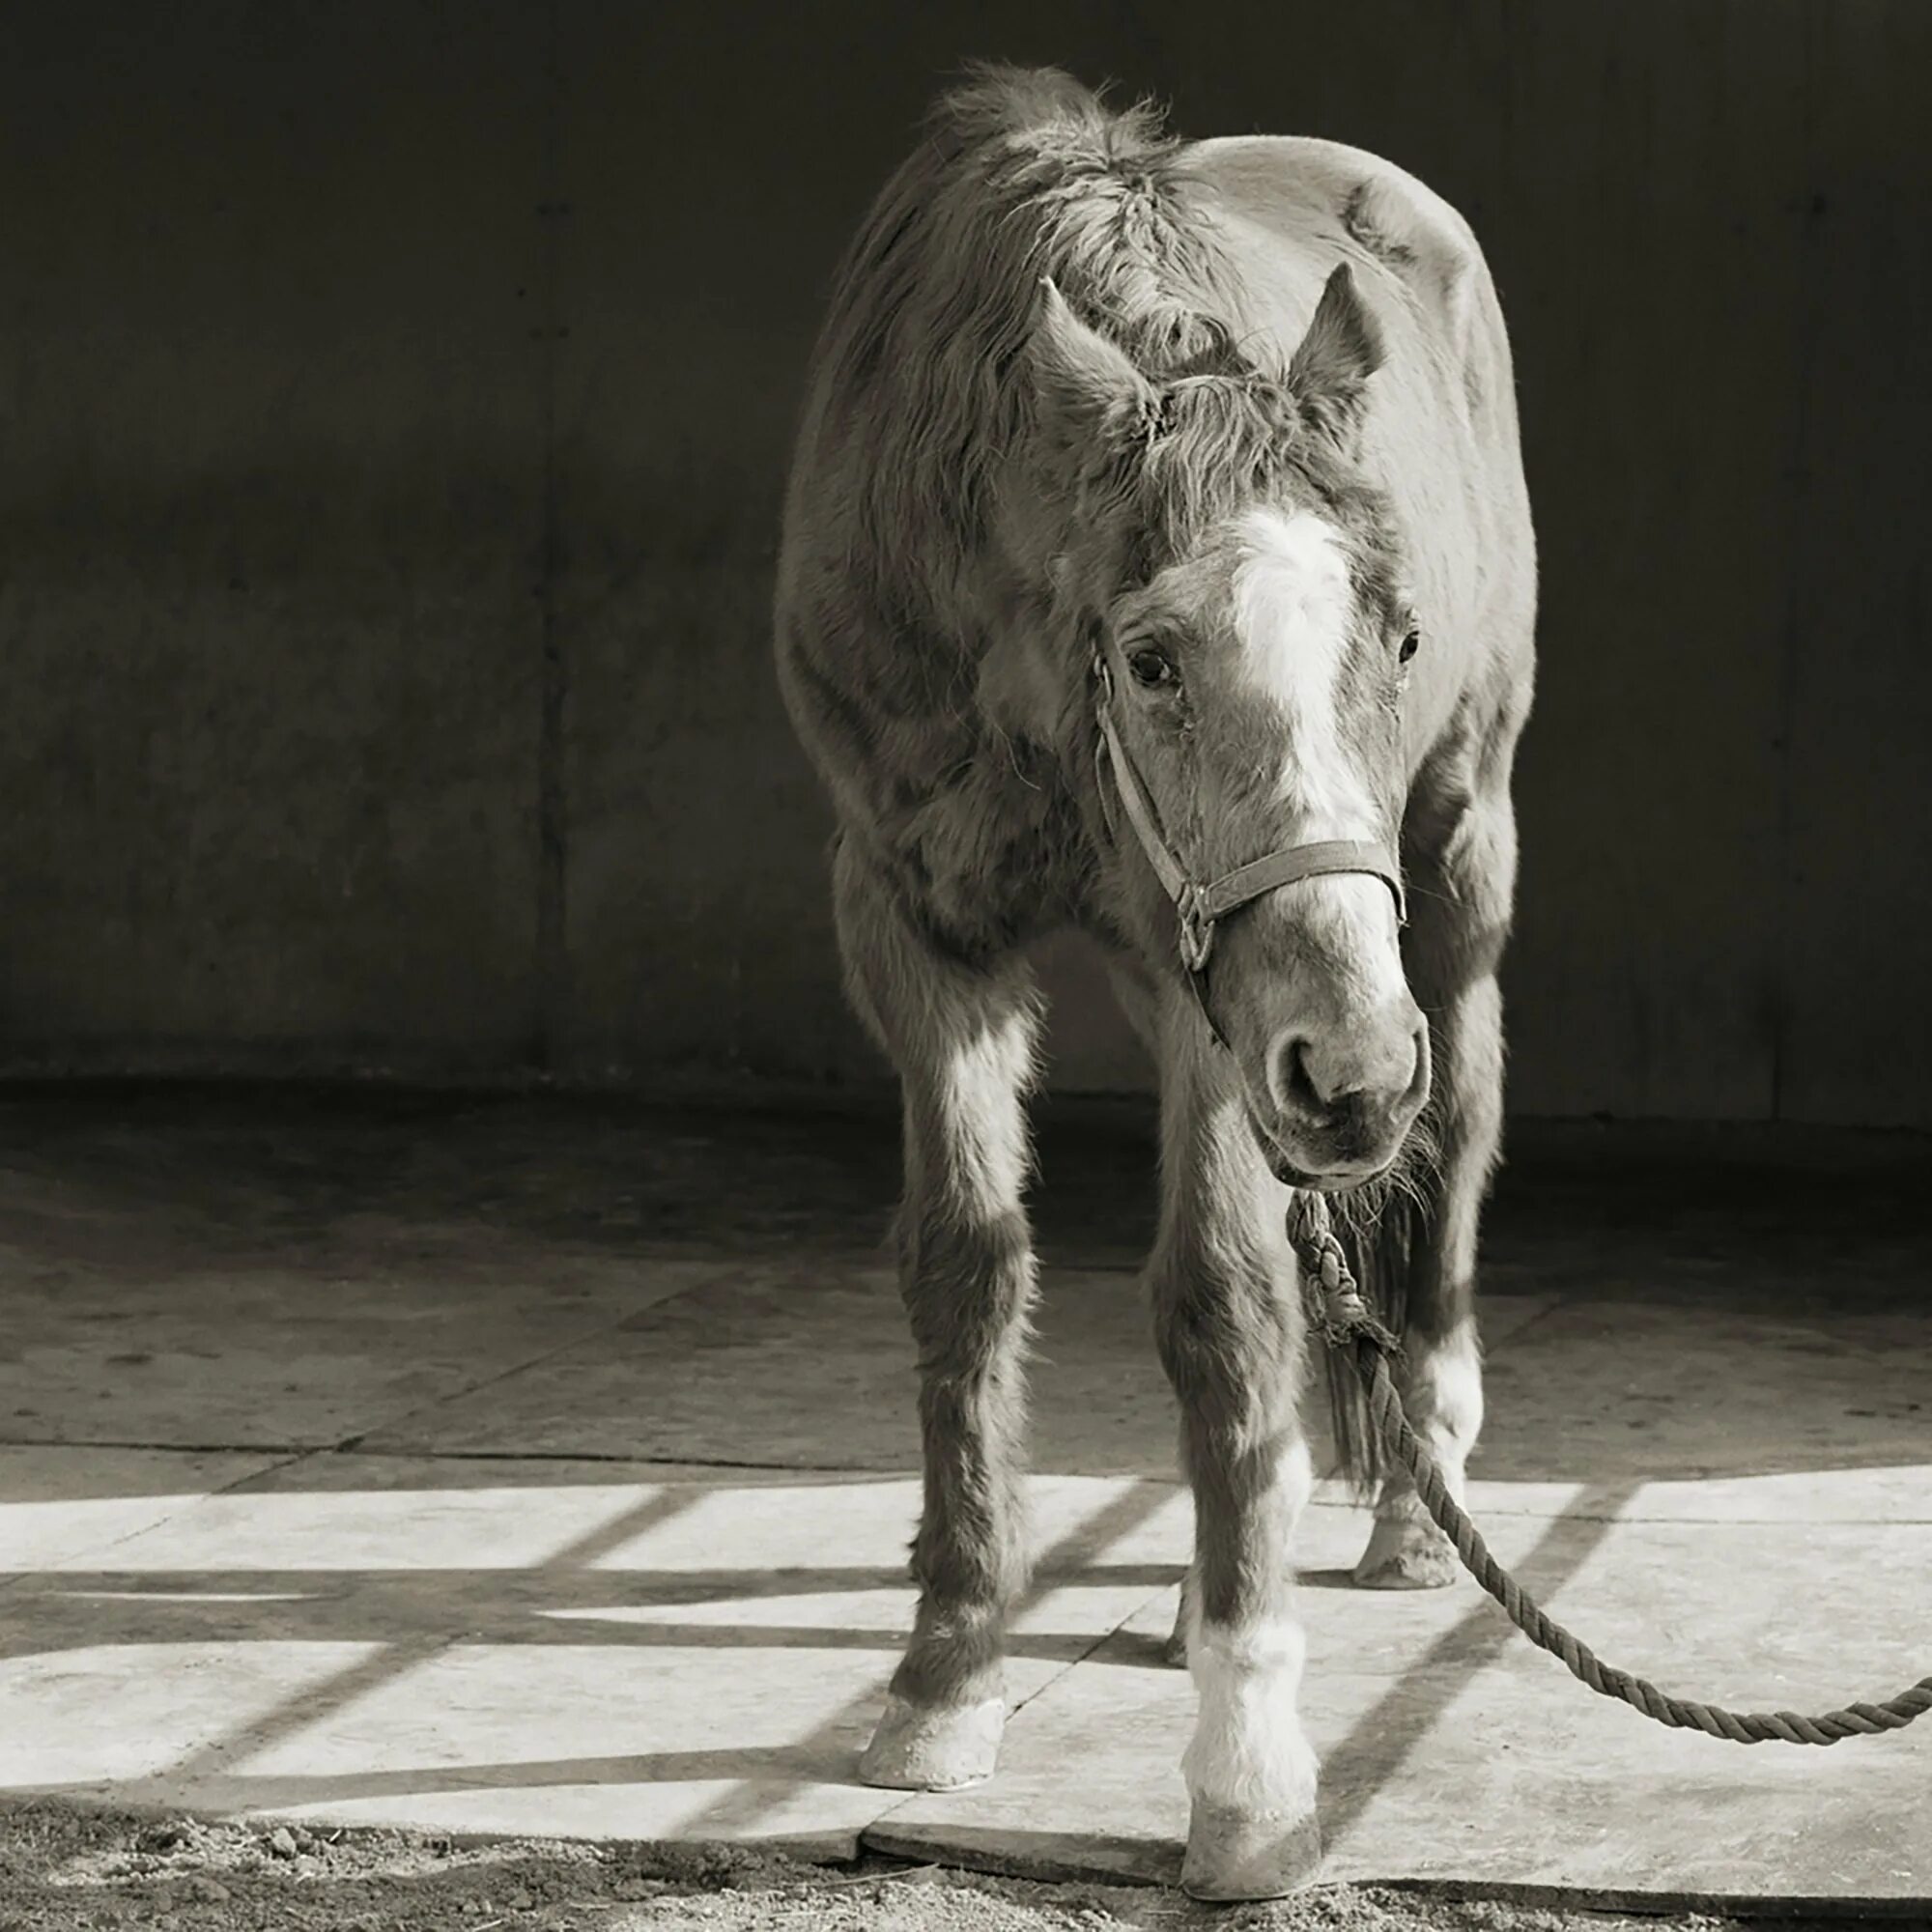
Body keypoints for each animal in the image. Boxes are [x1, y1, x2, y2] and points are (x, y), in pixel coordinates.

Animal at [769, 64, 1538, 1901]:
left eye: (1400, 635)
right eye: (1154, 655)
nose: (1356, 1072)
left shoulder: (1231, 999)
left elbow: (1223, 1304)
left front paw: (1250, 1778)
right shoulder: (911, 922)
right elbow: (965, 1269)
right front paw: (947, 1672)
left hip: (1447, 869)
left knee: (1461, 1128)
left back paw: (1411, 1503)